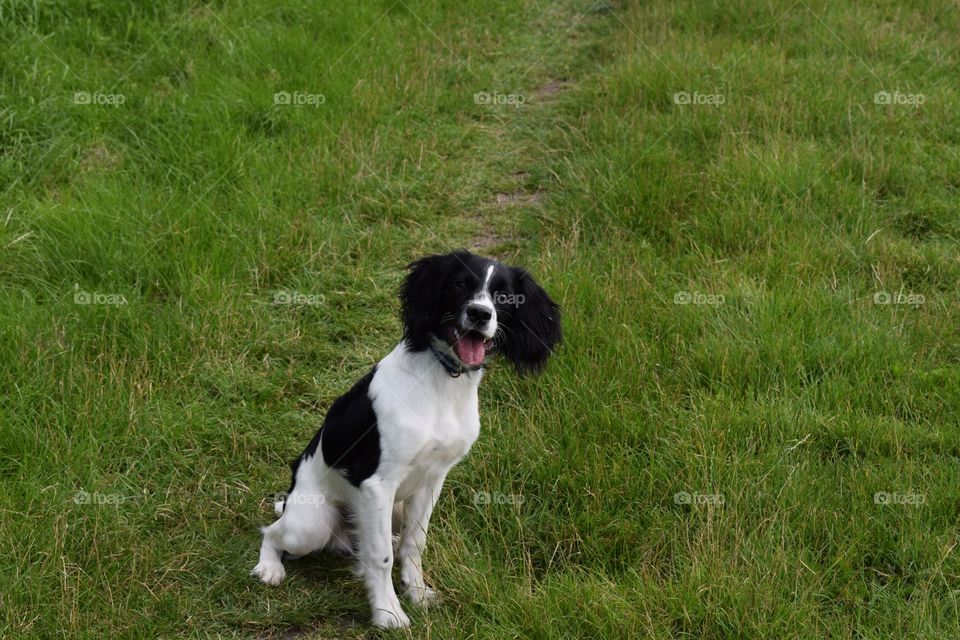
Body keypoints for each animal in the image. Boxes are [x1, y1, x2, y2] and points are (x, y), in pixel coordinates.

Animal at [253, 248, 564, 628]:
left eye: (504, 296)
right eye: (460, 284)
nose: (480, 313)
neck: (442, 382)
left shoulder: (432, 479)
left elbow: (414, 544)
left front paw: (417, 593)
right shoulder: (377, 484)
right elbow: (381, 556)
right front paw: (388, 612)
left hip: (391, 510)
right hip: (309, 525)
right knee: (272, 532)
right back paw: (269, 567)